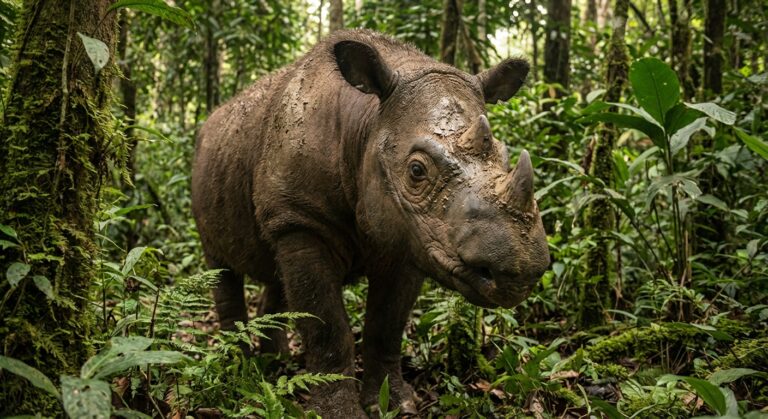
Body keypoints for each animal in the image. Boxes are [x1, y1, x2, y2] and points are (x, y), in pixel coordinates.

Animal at [192, 29, 549, 417]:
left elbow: (386, 326)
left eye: (504, 157)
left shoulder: (411, 236)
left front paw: (396, 403)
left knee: (276, 273)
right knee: (220, 265)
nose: (519, 268)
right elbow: (327, 327)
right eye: (416, 171)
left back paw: (276, 363)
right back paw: (238, 367)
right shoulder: (303, 220)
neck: (367, 120)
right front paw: (339, 411)